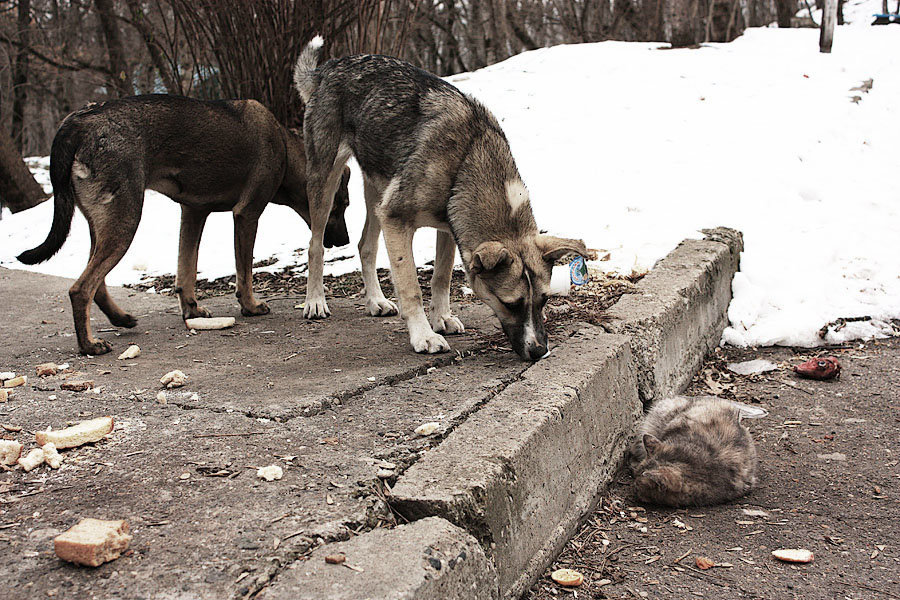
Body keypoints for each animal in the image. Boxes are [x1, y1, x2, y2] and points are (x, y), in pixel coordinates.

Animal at [18, 95, 352, 354]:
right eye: (342, 206)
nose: (345, 241)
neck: (284, 146)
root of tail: (79, 122)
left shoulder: (193, 212)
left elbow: (187, 270)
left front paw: (191, 309)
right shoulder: (246, 214)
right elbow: (244, 272)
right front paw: (250, 305)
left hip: (103, 226)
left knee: (95, 284)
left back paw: (121, 319)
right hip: (125, 222)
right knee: (81, 289)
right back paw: (89, 344)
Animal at [294, 38, 592, 360]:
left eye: (545, 300)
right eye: (510, 303)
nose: (538, 351)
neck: (468, 158)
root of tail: (328, 68)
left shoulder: (448, 228)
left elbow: (441, 277)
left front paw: (442, 318)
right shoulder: (396, 220)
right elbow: (411, 285)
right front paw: (424, 335)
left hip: (376, 191)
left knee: (365, 246)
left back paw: (375, 301)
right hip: (327, 181)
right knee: (315, 245)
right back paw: (315, 301)